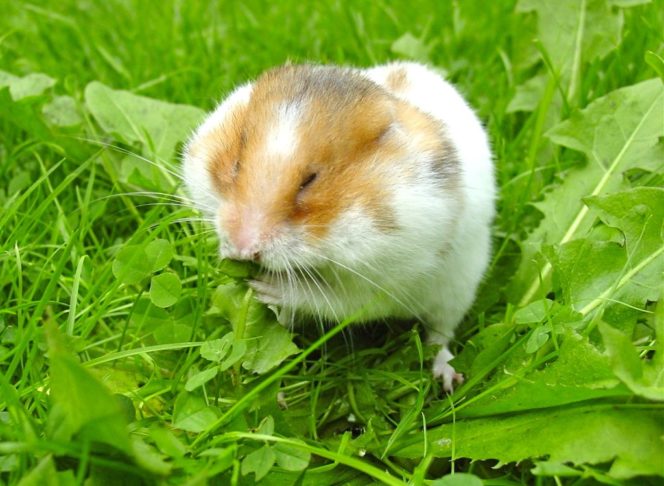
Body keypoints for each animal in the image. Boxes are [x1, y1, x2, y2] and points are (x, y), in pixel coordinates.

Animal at [183, 62, 495, 392]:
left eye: (310, 180)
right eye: (236, 165)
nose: (243, 249)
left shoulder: (384, 280)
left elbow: (330, 299)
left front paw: (267, 287)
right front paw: (226, 254)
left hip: (458, 288)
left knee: (440, 335)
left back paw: (448, 380)